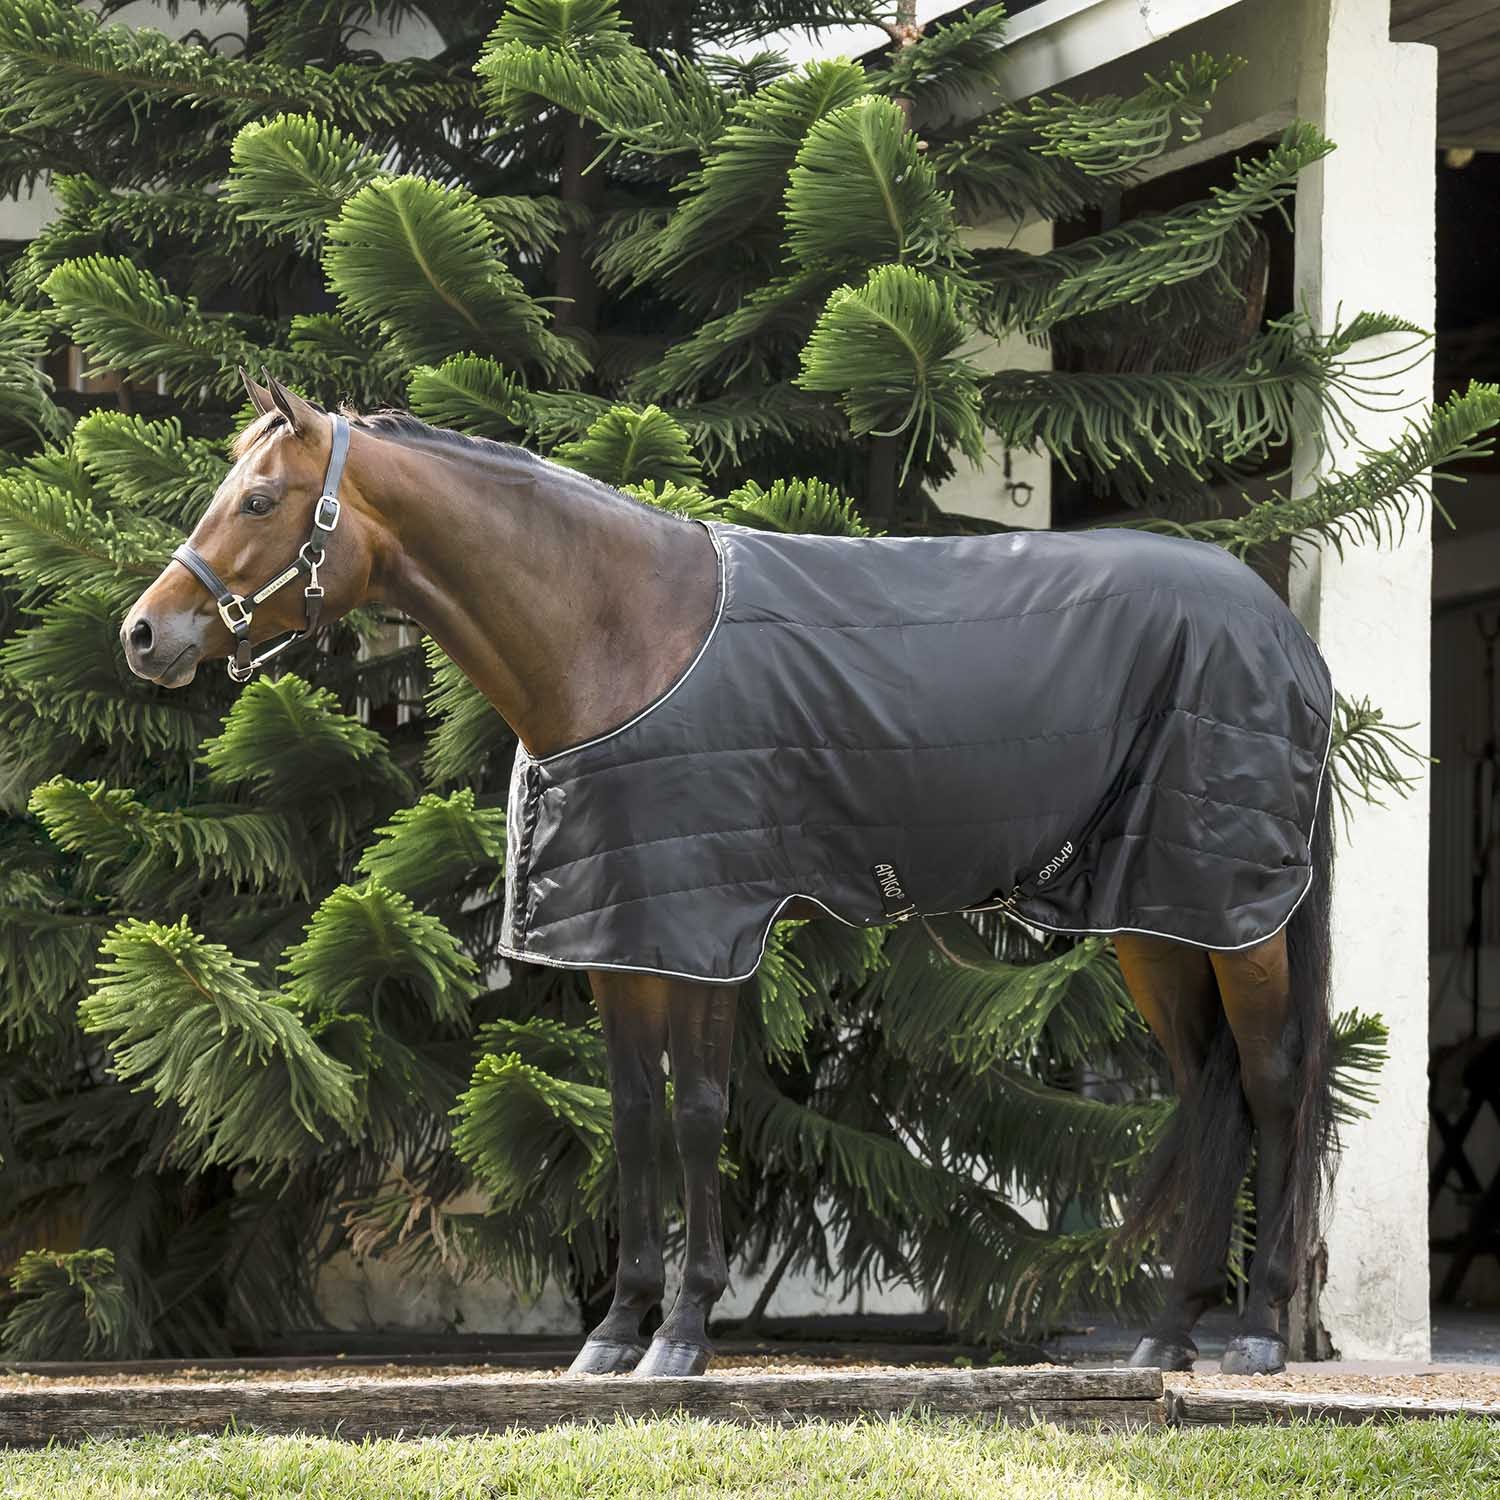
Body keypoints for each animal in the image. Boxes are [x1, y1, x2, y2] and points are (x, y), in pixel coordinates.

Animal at [121, 372, 1335, 1380]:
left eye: (261, 501)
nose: (143, 635)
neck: (623, 637)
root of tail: (1286, 632)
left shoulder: (707, 930)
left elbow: (701, 1112)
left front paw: (684, 1332)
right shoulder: (620, 932)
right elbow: (632, 1115)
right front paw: (616, 1332)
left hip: (1235, 914)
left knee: (1272, 1080)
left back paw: (1258, 1333)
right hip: (1161, 919)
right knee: (1211, 1087)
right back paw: (1167, 1334)